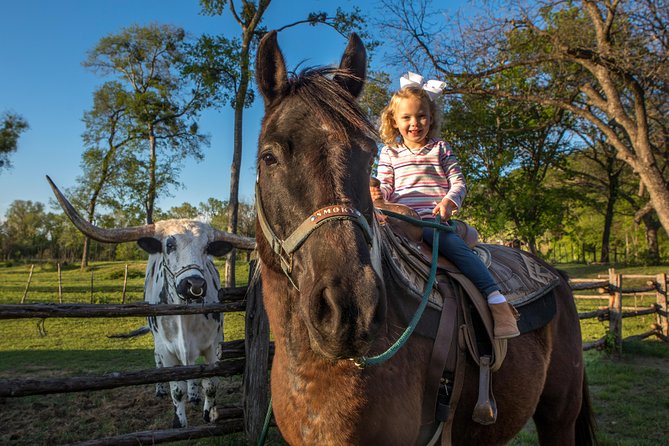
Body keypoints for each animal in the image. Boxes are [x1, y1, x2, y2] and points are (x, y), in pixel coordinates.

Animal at [253, 30, 597, 445]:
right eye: (269, 157)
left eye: (367, 155)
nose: (349, 309)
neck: (313, 370)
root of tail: (556, 275)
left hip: (558, 417)